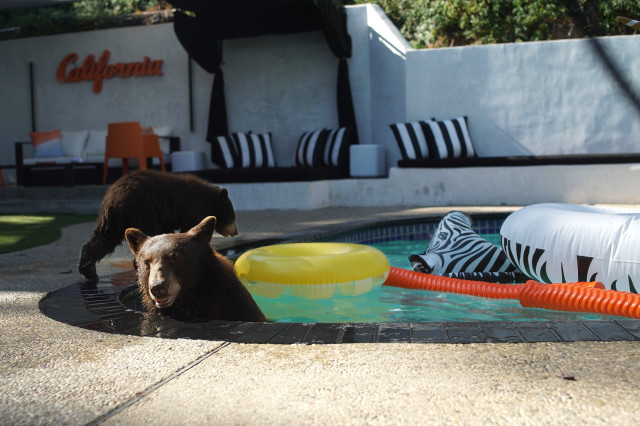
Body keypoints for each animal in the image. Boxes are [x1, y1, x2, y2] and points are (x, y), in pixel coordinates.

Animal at [79, 169, 238, 280]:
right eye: (233, 215)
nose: (236, 232)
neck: (209, 200)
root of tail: (113, 200)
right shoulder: (192, 208)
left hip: (112, 222)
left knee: (103, 240)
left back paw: (88, 270)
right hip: (143, 212)